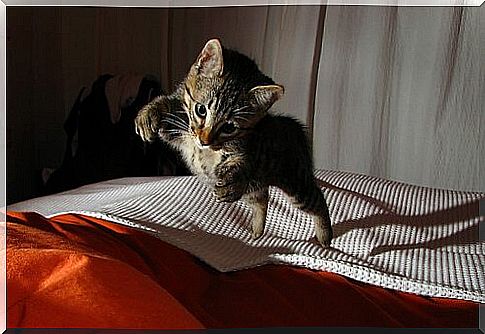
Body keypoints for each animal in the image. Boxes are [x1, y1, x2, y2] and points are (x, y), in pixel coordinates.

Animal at [135, 39, 332, 248]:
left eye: (229, 127)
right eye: (201, 110)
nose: (204, 140)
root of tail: (291, 126)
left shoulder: (247, 152)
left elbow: (242, 166)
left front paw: (233, 181)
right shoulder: (179, 128)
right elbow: (166, 105)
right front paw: (149, 113)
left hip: (296, 183)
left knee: (317, 199)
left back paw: (325, 237)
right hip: (256, 188)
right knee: (262, 198)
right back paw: (257, 230)